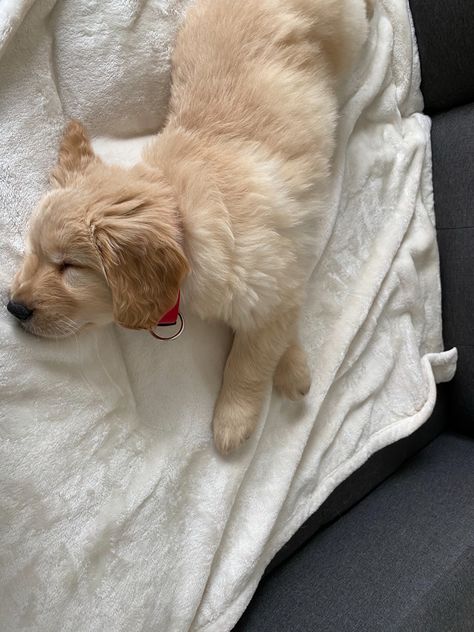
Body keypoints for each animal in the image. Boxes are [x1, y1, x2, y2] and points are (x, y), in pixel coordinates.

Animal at [6, 0, 370, 454]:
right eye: (33, 254)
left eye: (69, 267)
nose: (13, 307)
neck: (181, 214)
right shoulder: (277, 277)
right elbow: (278, 325)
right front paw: (293, 369)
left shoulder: (268, 277)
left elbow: (252, 355)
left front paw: (235, 418)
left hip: (349, 35)